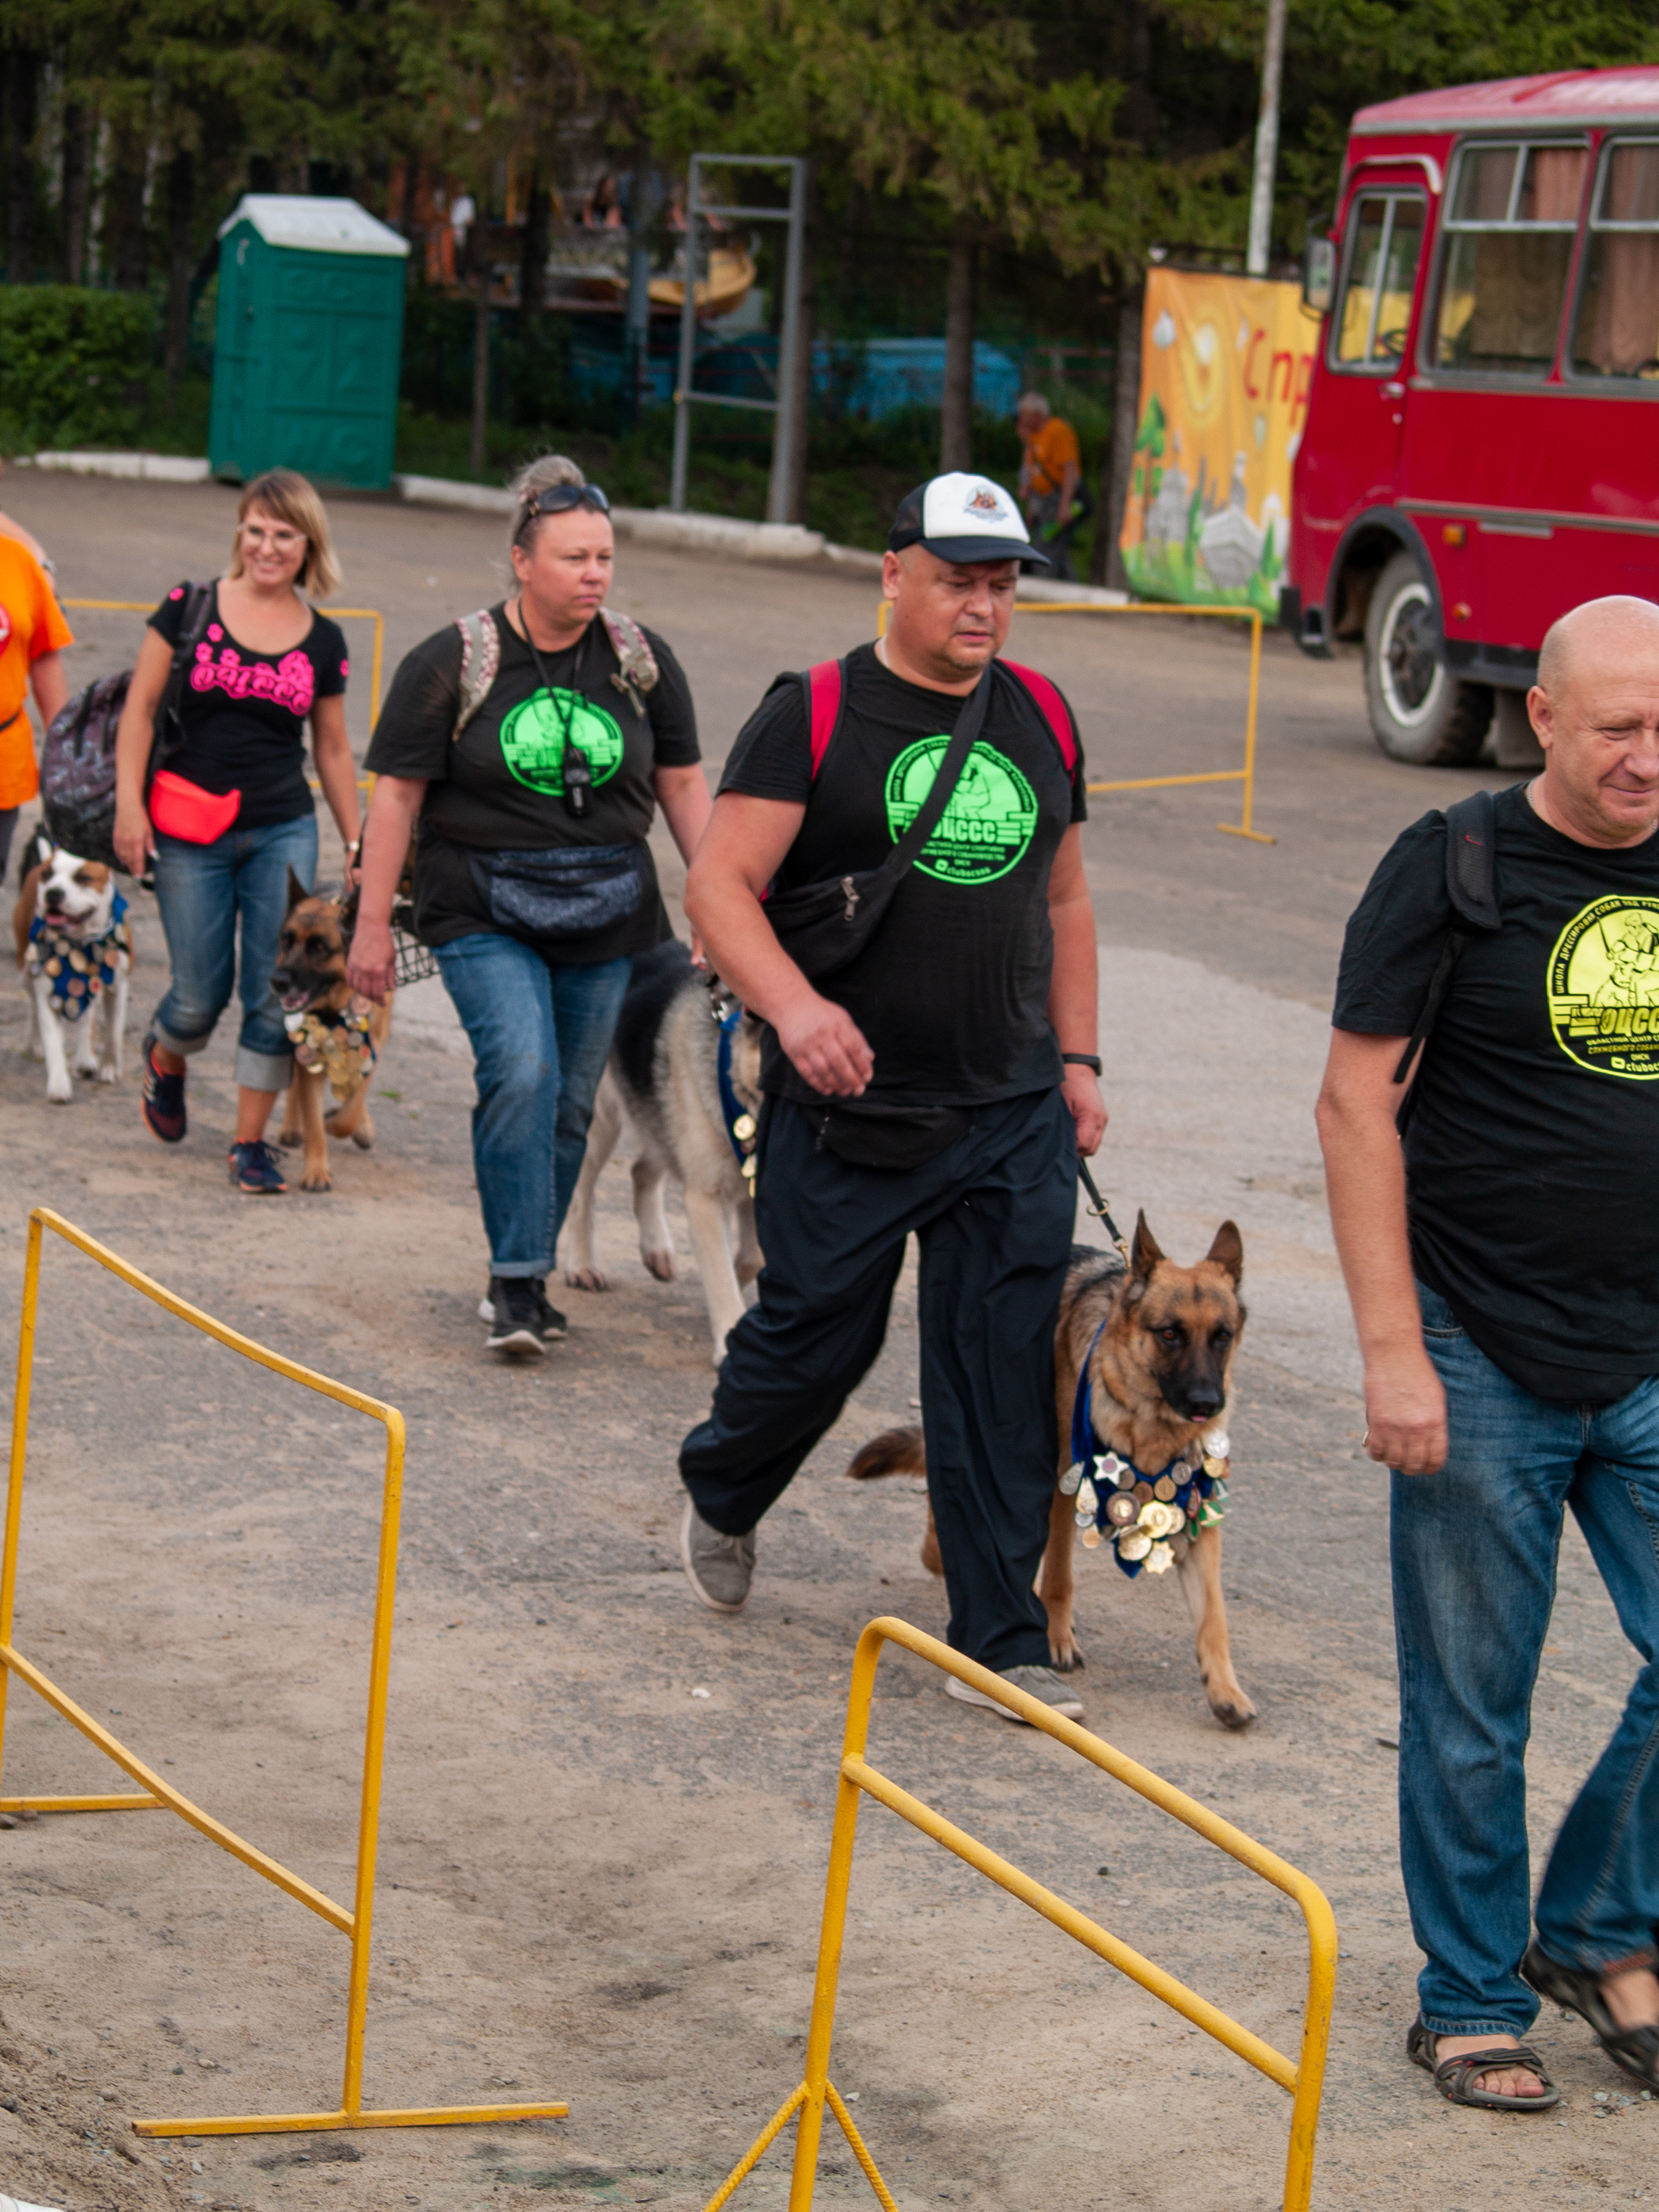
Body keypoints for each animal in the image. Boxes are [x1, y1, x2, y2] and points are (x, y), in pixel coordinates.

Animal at [12, 840, 131, 1102]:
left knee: (88, 1016)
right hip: (26, 970)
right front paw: (59, 1085)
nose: (53, 892)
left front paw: (109, 1066)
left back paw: (86, 1057)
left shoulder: (117, 986)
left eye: (83, 877)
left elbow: (114, 1033)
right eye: (48, 875)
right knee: (33, 1007)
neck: (81, 940)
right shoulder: (48, 992)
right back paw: (35, 1042)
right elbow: (53, 1043)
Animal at [271, 872, 394, 1194]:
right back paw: (292, 1126)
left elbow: (350, 1110)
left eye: (319, 948)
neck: (337, 1007)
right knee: (295, 1087)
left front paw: (344, 1122)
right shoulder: (308, 1057)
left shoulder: (370, 1051)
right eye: (286, 941)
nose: (277, 981)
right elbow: (313, 1122)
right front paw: (316, 1172)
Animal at [561, 937, 765, 1362]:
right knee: (582, 1190)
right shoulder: (705, 1198)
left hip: (657, 1117)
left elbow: (752, 1258)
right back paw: (581, 1263)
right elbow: (721, 1271)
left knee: (642, 1169)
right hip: (600, 1122)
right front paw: (729, 1332)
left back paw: (655, 1249)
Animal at [858, 1212, 1256, 1725]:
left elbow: (1213, 1616)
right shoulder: (1067, 1486)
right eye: (1170, 1334)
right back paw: (941, 1554)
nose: (1207, 1403)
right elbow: (1059, 1576)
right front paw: (1055, 1639)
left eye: (1222, 1336)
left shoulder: (1196, 1511)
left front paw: (1226, 1691)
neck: (1145, 1421)